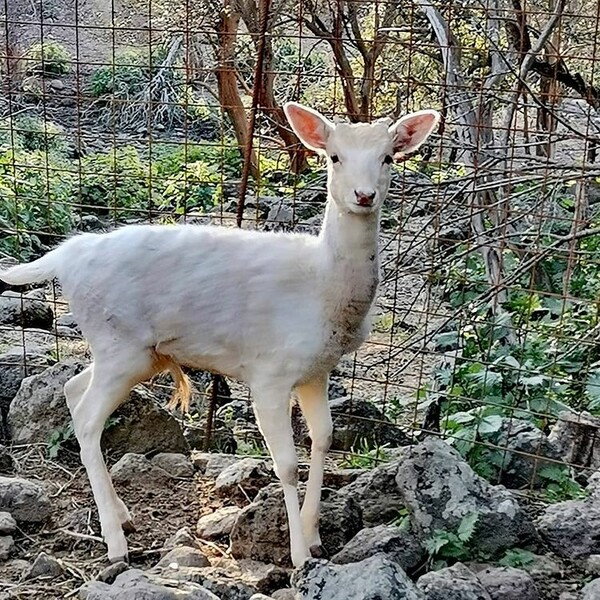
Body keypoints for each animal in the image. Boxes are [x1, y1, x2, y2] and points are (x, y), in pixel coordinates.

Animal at [0, 102, 440, 568]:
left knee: (71, 387)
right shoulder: (269, 372)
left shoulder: (316, 371)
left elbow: (322, 439)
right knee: (86, 418)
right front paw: (298, 555)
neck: (324, 292)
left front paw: (314, 534)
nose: (364, 195)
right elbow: (286, 464)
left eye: (388, 157)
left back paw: (121, 516)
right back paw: (115, 542)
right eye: (334, 157)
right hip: (119, 342)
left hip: (132, 353)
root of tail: (65, 255)